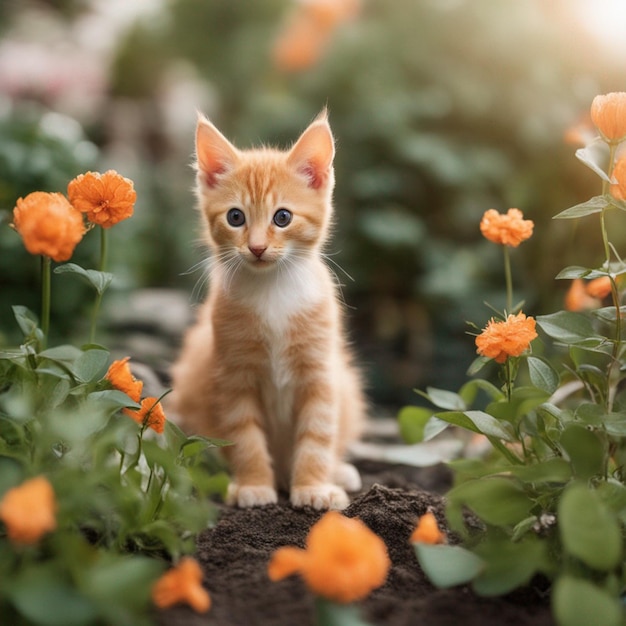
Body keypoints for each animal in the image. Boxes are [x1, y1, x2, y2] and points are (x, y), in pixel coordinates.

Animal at [171, 109, 366, 508]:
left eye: (282, 218)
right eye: (235, 218)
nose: (257, 247)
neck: (272, 289)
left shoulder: (321, 373)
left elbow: (318, 434)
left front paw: (312, 487)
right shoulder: (233, 375)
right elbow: (244, 437)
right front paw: (254, 485)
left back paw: (336, 472)